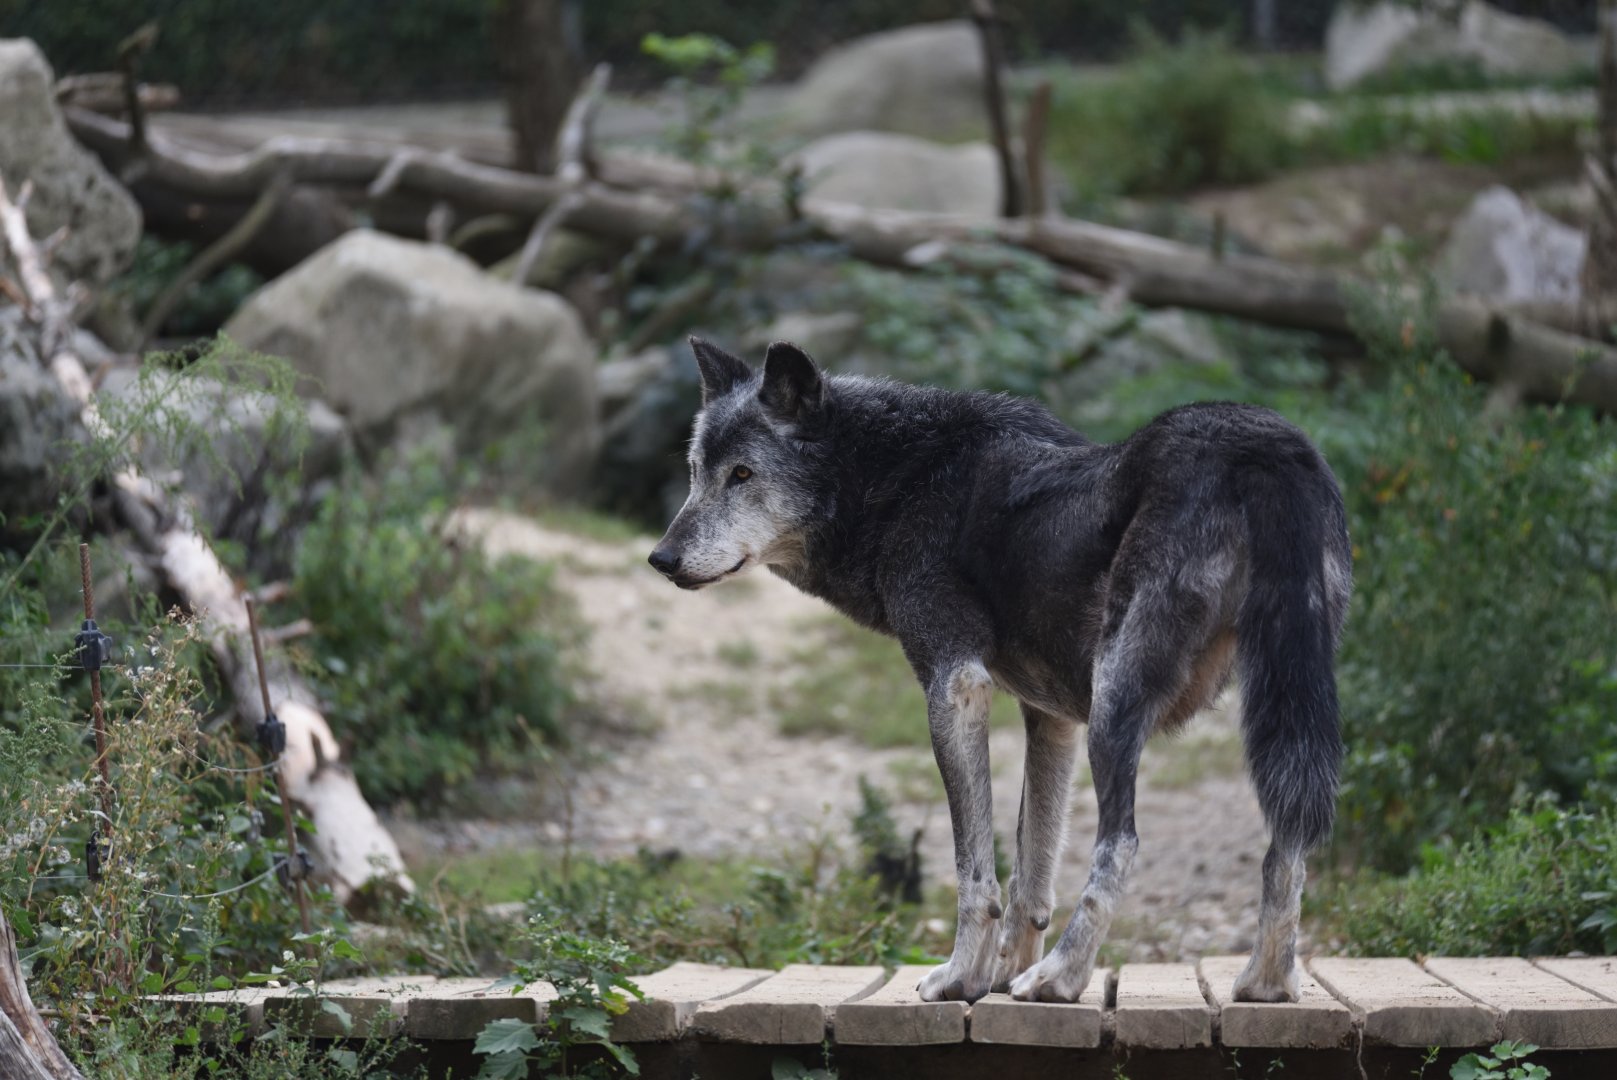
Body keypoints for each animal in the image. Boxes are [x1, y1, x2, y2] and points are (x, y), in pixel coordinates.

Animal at [649, 338, 1351, 1005]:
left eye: (743, 474)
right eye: (696, 474)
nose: (660, 558)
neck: (898, 481)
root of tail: (1264, 448)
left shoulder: (955, 685)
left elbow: (975, 870)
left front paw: (962, 978)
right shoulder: (1051, 718)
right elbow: (1030, 873)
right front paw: (1001, 973)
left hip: (1117, 703)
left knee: (1121, 845)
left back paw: (1060, 979)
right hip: (1282, 706)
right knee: (1287, 847)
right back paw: (1265, 984)